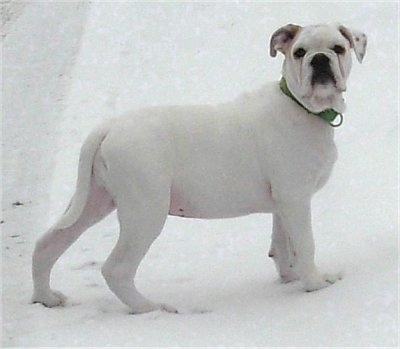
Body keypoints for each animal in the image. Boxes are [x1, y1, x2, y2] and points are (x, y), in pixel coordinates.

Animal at [32, 23, 368, 312]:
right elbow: (306, 244)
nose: (320, 60)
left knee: (48, 244)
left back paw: (46, 297)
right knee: (116, 268)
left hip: (93, 200)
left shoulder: (283, 202)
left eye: (338, 48)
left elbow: (283, 244)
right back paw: (151, 308)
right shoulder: (295, 198)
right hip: (145, 211)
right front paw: (315, 284)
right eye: (299, 52)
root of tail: (108, 128)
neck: (301, 106)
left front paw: (290, 277)